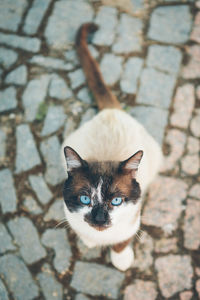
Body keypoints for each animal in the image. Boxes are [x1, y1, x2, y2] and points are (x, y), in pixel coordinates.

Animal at [61, 24, 162, 272]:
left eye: (116, 201)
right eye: (84, 199)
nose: (99, 219)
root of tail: (111, 110)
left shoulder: (133, 219)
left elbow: (122, 242)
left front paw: (121, 260)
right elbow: (83, 232)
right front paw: (88, 241)